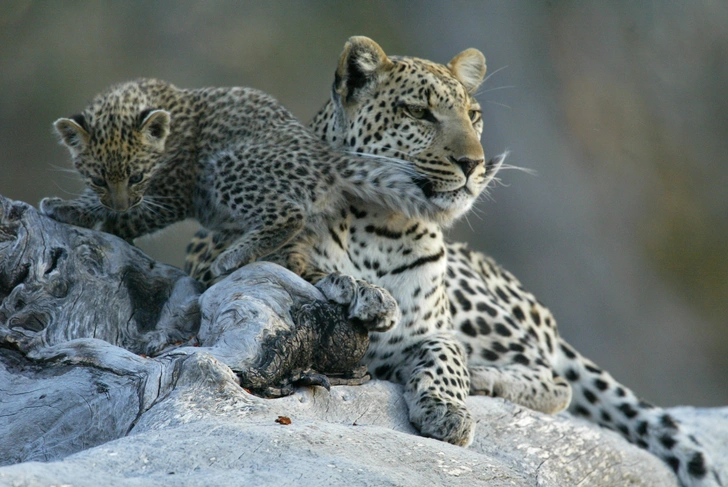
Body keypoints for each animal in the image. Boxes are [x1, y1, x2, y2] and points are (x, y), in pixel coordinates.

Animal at [185, 37, 720, 487]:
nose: (474, 163)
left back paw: (483, 374)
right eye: (420, 112)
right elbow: (306, 267)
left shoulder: (433, 328)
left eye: (474, 114)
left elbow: (445, 357)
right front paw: (364, 293)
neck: (385, 227)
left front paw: (449, 410)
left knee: (555, 379)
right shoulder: (226, 258)